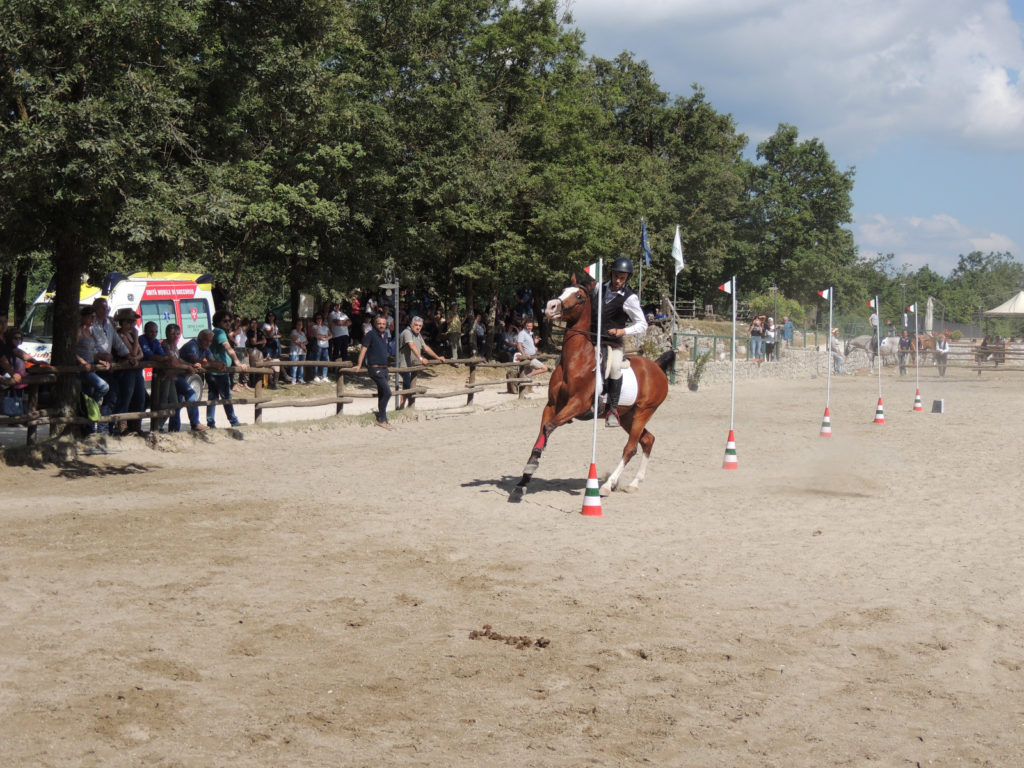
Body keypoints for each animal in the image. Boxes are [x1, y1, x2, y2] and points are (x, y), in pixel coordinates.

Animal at [512, 277, 675, 498]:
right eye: (563, 290)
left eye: (579, 296)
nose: (551, 306)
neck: (576, 360)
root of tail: (656, 367)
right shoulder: (552, 405)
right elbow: (542, 431)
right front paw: (525, 477)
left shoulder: (578, 404)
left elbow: (549, 427)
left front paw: (532, 464)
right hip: (627, 416)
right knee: (648, 440)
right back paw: (634, 483)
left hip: (643, 411)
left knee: (631, 448)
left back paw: (608, 485)